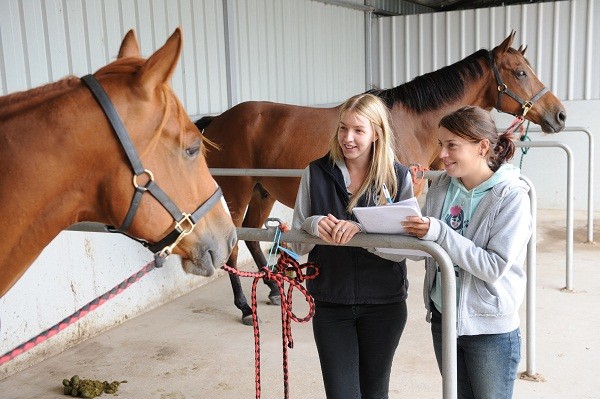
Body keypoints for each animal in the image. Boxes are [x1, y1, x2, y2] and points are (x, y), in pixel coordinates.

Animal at [198, 31, 568, 324]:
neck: (410, 123)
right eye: (520, 72)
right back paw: (245, 307)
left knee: (251, 235)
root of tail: (216, 121)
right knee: (233, 245)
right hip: (236, 192)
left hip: (262, 191)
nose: (560, 115)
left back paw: (273, 288)